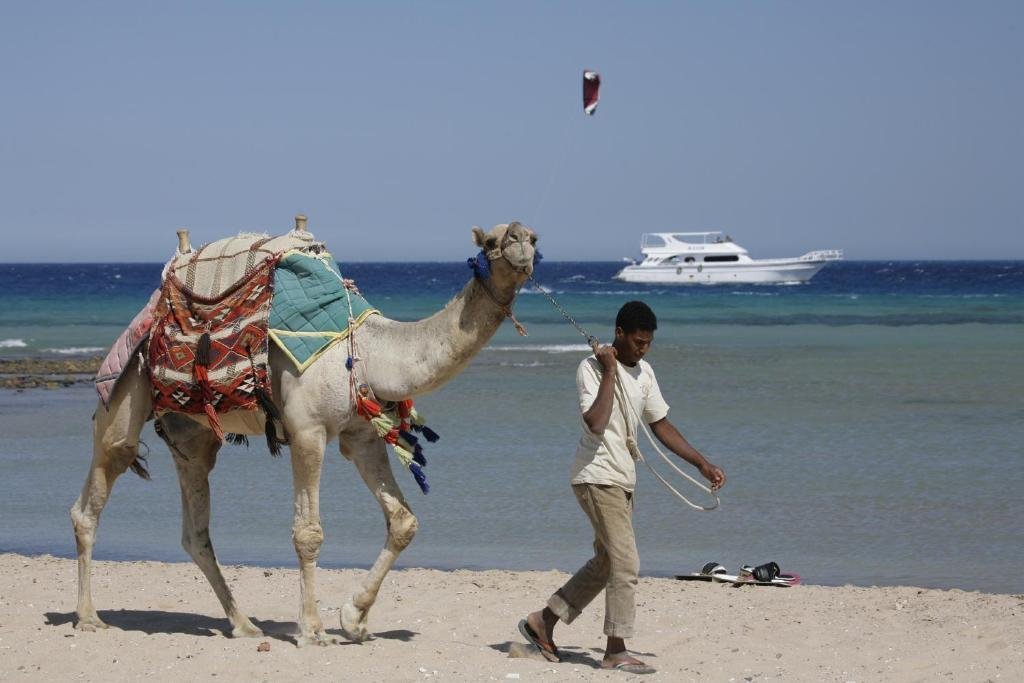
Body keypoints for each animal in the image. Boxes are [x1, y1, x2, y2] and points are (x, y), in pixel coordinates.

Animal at [70, 220, 538, 646]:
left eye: (534, 237)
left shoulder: (361, 436)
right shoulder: (307, 431)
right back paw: (89, 618)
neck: (369, 352)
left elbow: (404, 521)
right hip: (124, 393)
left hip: (192, 435)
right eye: (492, 241)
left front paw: (354, 619)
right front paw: (312, 630)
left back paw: (244, 625)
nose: (520, 242)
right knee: (93, 495)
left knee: (195, 530)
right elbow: (308, 533)